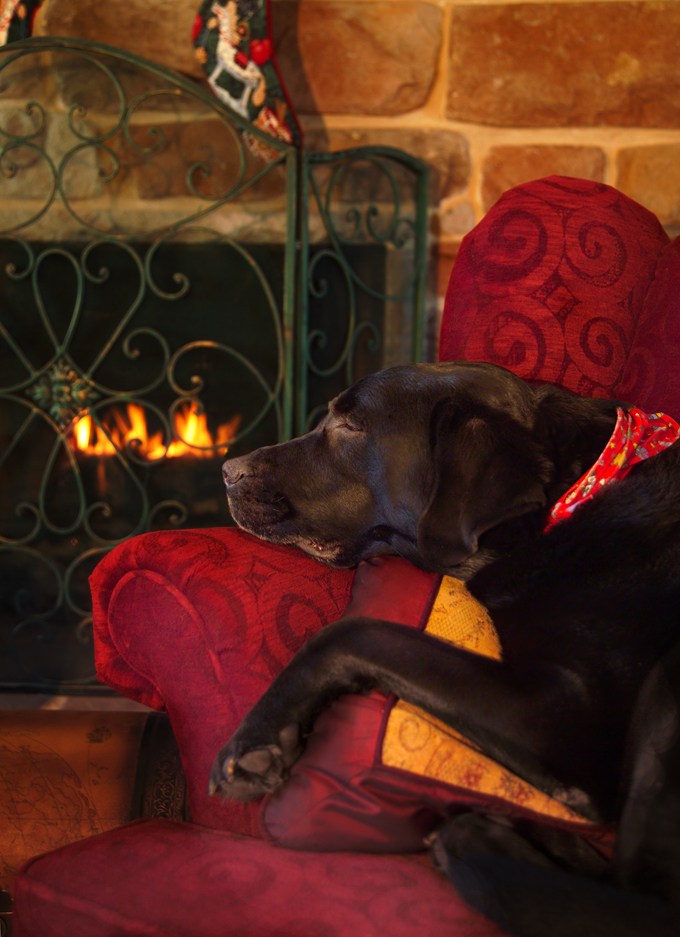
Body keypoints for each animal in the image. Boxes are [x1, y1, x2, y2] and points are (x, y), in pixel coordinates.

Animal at [207, 362, 680, 932]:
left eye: (350, 426)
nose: (227, 469)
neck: (574, 494)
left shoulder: (562, 716)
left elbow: (353, 632)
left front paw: (255, 738)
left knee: (641, 902)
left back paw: (475, 839)